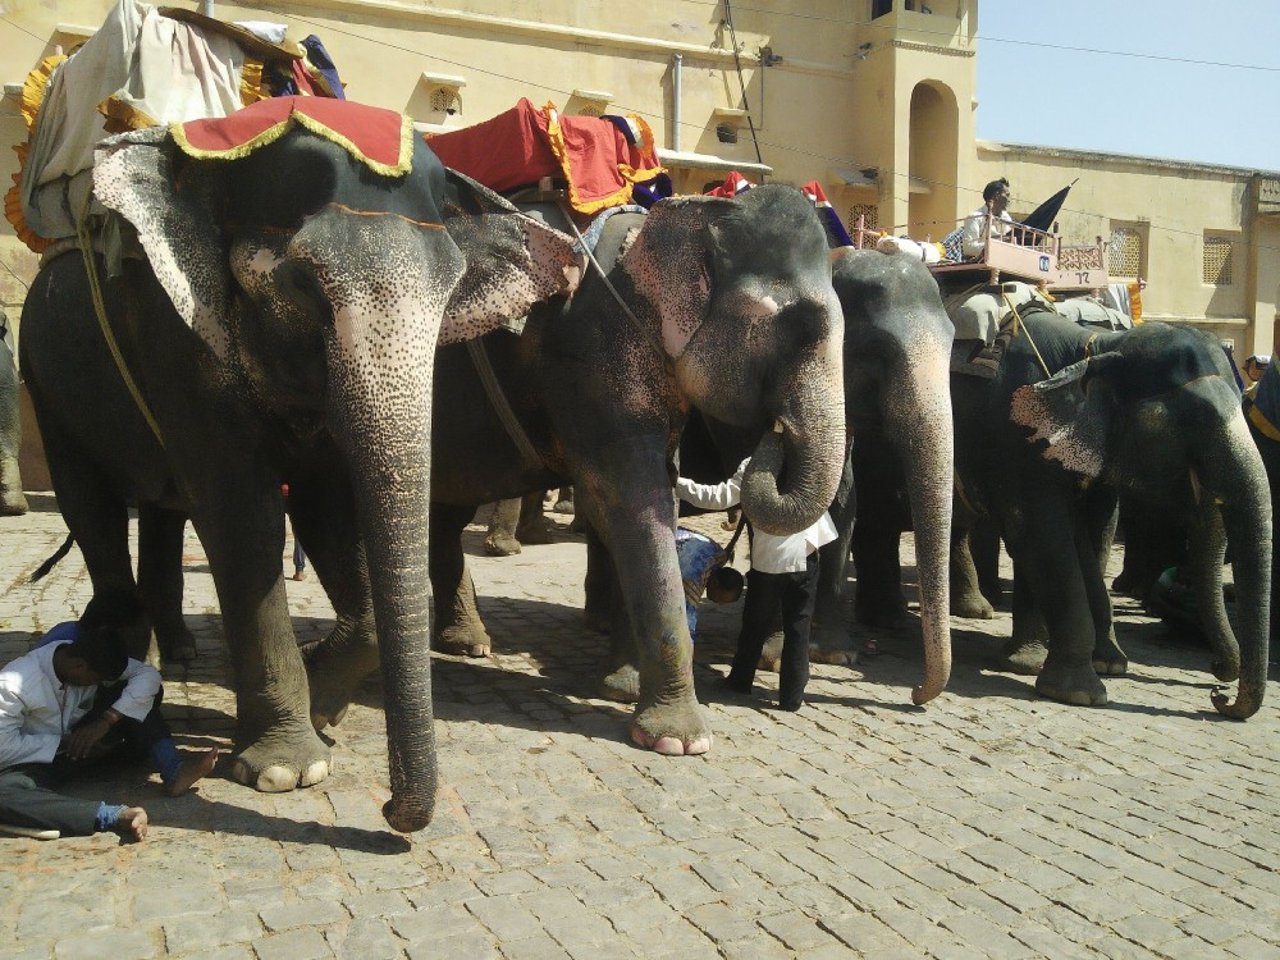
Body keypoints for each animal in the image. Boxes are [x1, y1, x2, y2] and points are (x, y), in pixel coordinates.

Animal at [18, 99, 581, 834]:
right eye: (301, 286)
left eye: (453, 290)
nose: (393, 813)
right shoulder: (178, 334)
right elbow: (243, 516)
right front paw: (286, 769)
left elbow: (328, 505)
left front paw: (322, 709)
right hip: (46, 380)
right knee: (92, 506)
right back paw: (129, 655)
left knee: (163, 511)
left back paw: (178, 656)